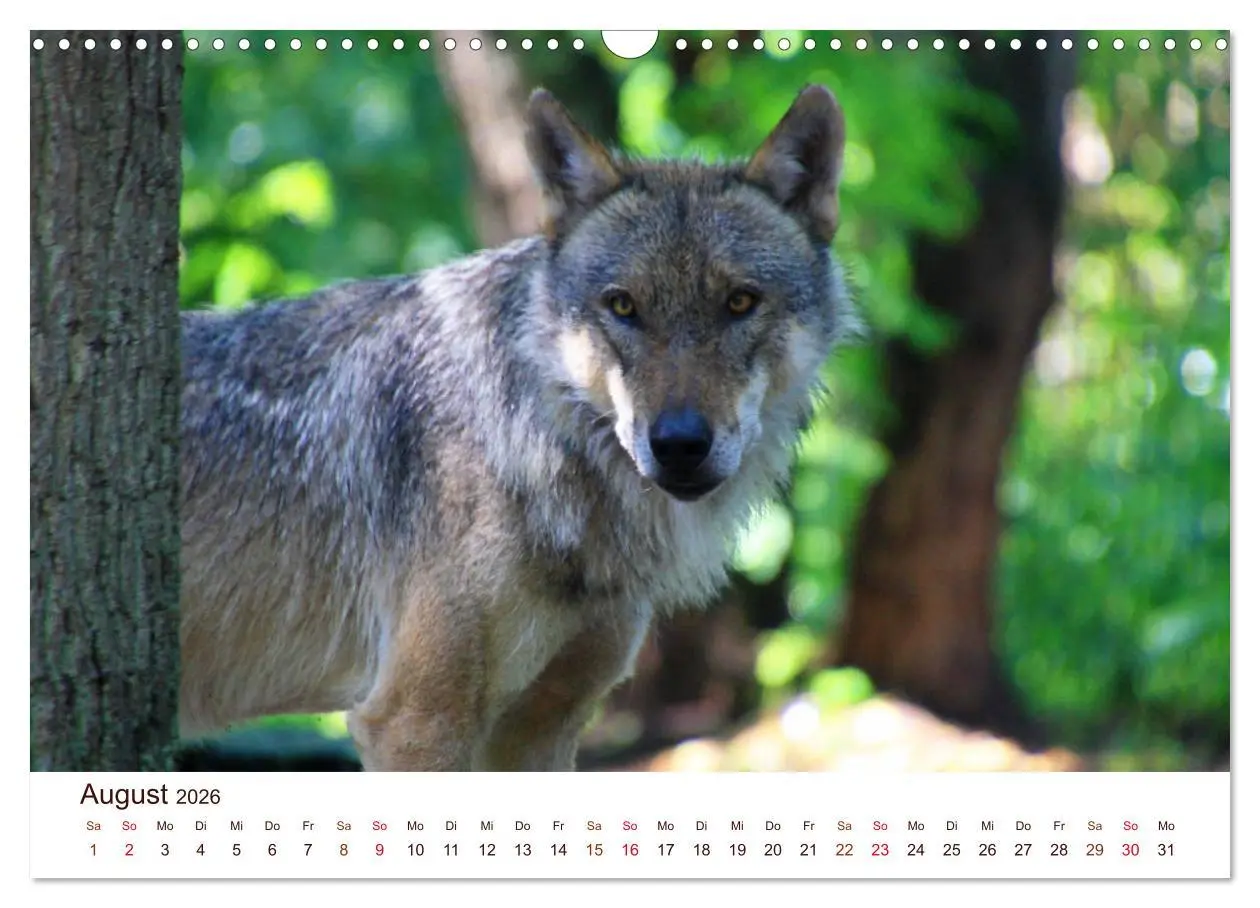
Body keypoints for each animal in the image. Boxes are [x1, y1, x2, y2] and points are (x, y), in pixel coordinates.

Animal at [178, 84, 861, 770]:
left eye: (740, 302)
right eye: (623, 306)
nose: (679, 445)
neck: (533, 446)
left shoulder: (542, 726)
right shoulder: (414, 721)